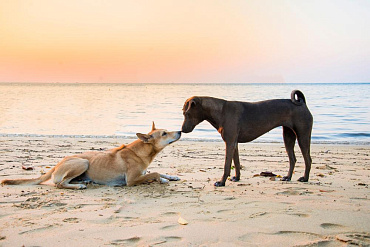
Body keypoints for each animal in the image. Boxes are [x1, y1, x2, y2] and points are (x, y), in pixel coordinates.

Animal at [1, 123, 181, 189]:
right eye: (164, 133)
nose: (180, 131)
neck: (140, 151)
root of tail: (57, 164)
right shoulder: (131, 180)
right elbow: (155, 173)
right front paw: (163, 180)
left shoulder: (142, 173)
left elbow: (159, 171)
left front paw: (171, 176)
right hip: (82, 162)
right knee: (60, 184)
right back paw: (79, 186)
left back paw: (84, 181)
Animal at [181, 89, 312, 186]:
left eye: (187, 114)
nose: (182, 130)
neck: (221, 111)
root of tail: (302, 103)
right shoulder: (234, 143)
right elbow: (237, 163)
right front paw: (236, 177)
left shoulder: (230, 142)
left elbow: (226, 165)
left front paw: (221, 182)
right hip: (288, 137)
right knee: (292, 159)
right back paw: (288, 177)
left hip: (303, 136)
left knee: (308, 159)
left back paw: (305, 178)